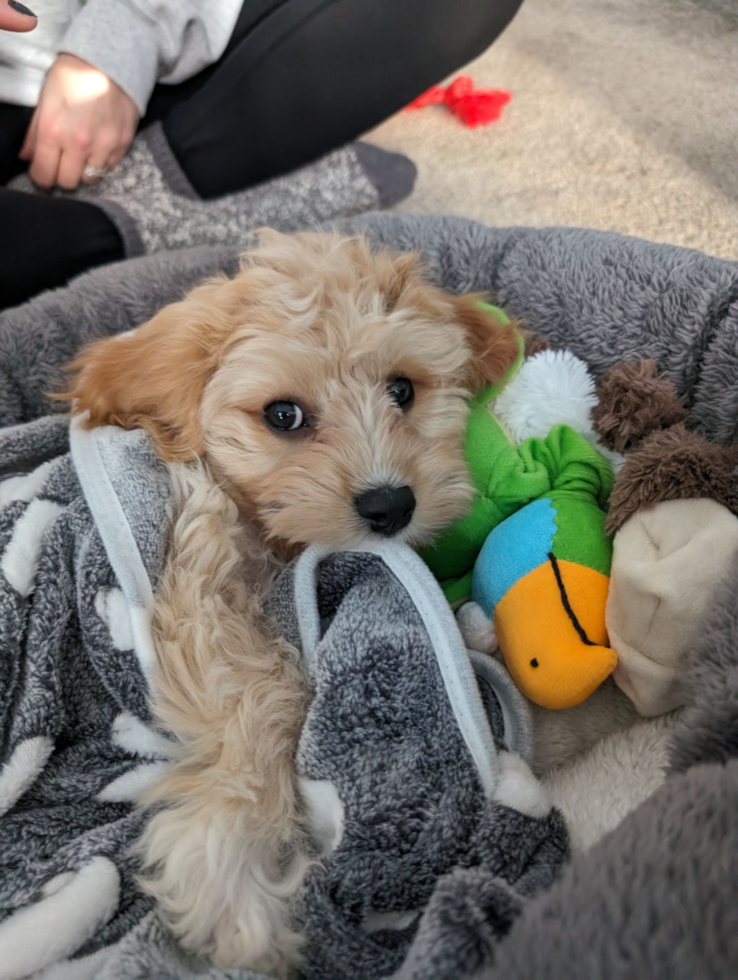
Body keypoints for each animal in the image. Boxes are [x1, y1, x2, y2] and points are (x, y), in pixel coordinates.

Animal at [66, 230, 520, 972]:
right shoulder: (194, 580)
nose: (391, 505)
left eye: (402, 389)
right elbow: (263, 690)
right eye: (284, 415)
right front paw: (232, 865)